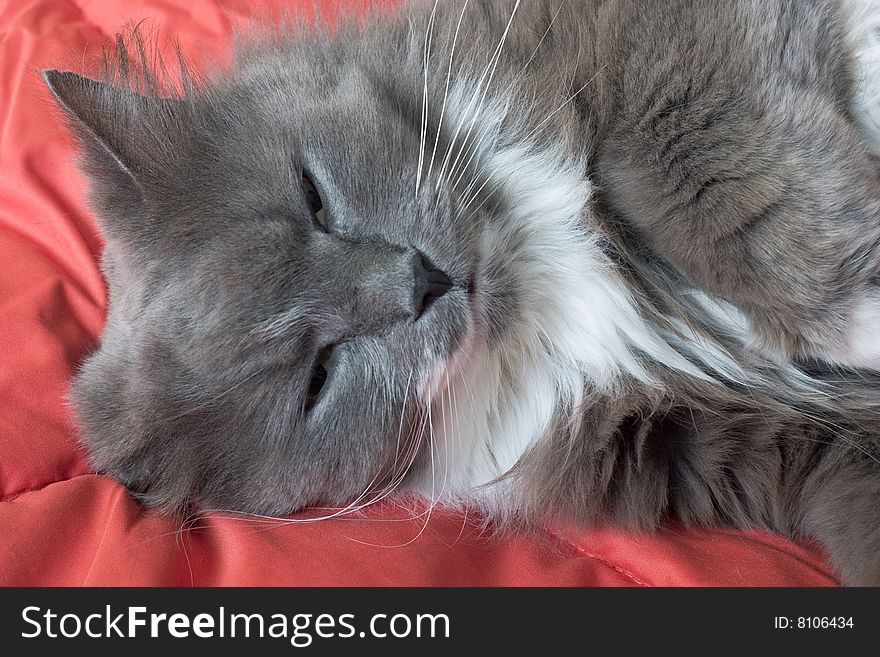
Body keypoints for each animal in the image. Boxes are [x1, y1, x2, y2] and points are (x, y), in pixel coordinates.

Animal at [43, 0, 880, 584]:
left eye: (314, 198)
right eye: (317, 377)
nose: (421, 281)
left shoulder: (665, 51)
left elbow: (689, 169)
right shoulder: (734, 437)